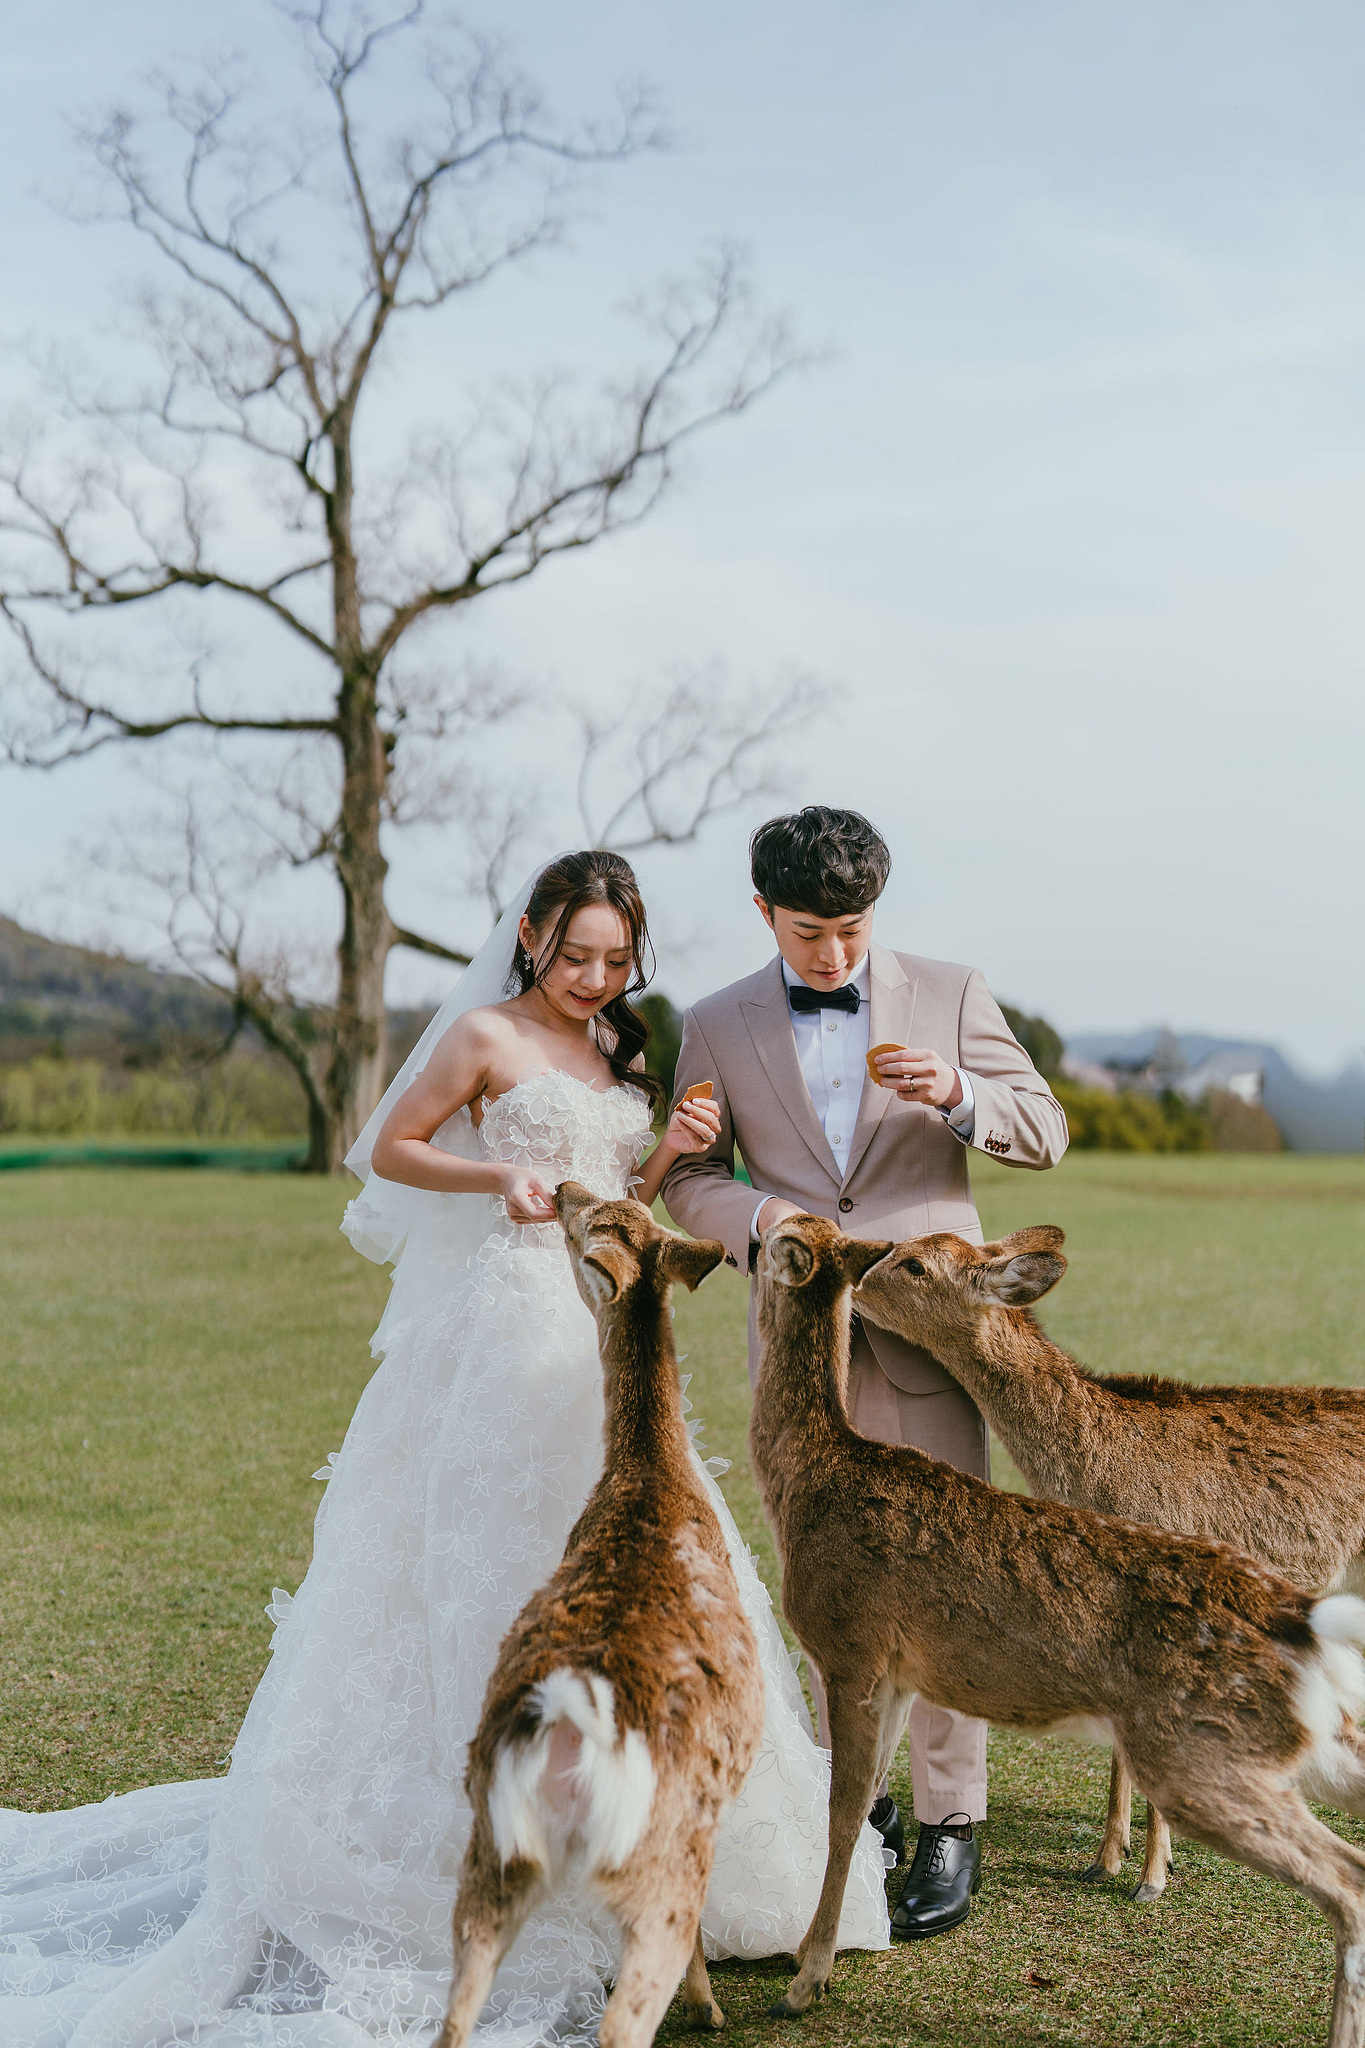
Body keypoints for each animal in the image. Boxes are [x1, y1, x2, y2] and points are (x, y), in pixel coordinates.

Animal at [437, 1184, 764, 2048]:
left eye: (610, 1209)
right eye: (590, 1221)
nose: (561, 1190)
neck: (648, 1483)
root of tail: (568, 1727)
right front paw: (709, 2007)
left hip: (492, 1849)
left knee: (453, 2014)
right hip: (657, 1858)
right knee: (624, 2018)